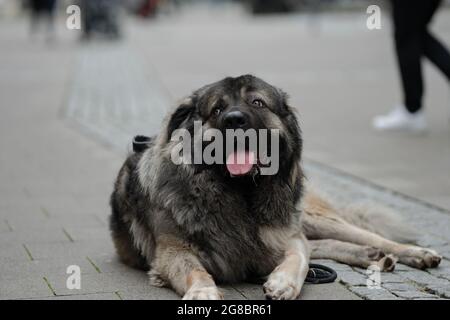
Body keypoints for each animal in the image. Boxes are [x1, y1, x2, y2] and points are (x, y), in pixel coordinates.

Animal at [110, 75, 442, 300]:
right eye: (217, 109)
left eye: (257, 102)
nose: (234, 119)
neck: (240, 193)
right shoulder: (172, 252)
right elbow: (195, 270)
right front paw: (203, 291)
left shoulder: (287, 237)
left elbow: (299, 258)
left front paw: (283, 283)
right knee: (325, 244)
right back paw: (371, 256)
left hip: (311, 218)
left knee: (363, 235)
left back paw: (411, 252)